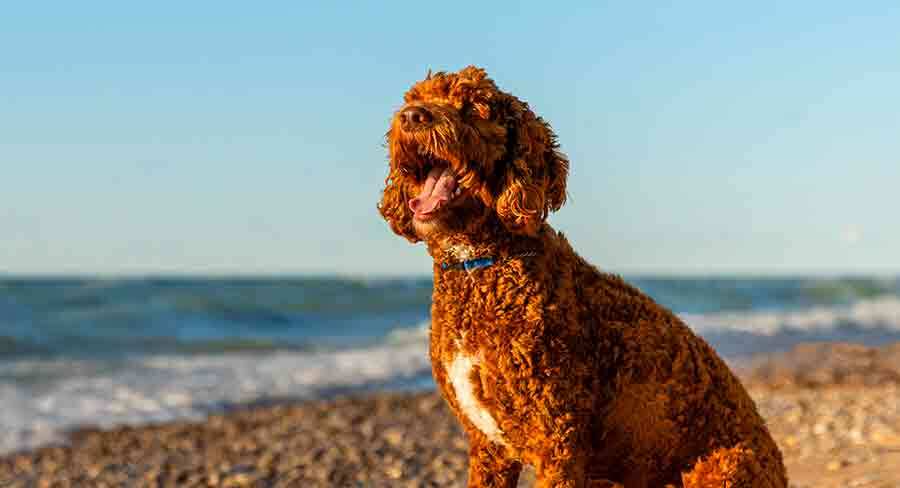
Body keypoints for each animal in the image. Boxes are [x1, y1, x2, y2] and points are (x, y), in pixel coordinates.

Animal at [376, 66, 784, 488]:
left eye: (473, 108)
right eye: (415, 98)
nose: (412, 116)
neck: (483, 265)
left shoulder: (557, 442)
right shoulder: (489, 448)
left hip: (724, 465)